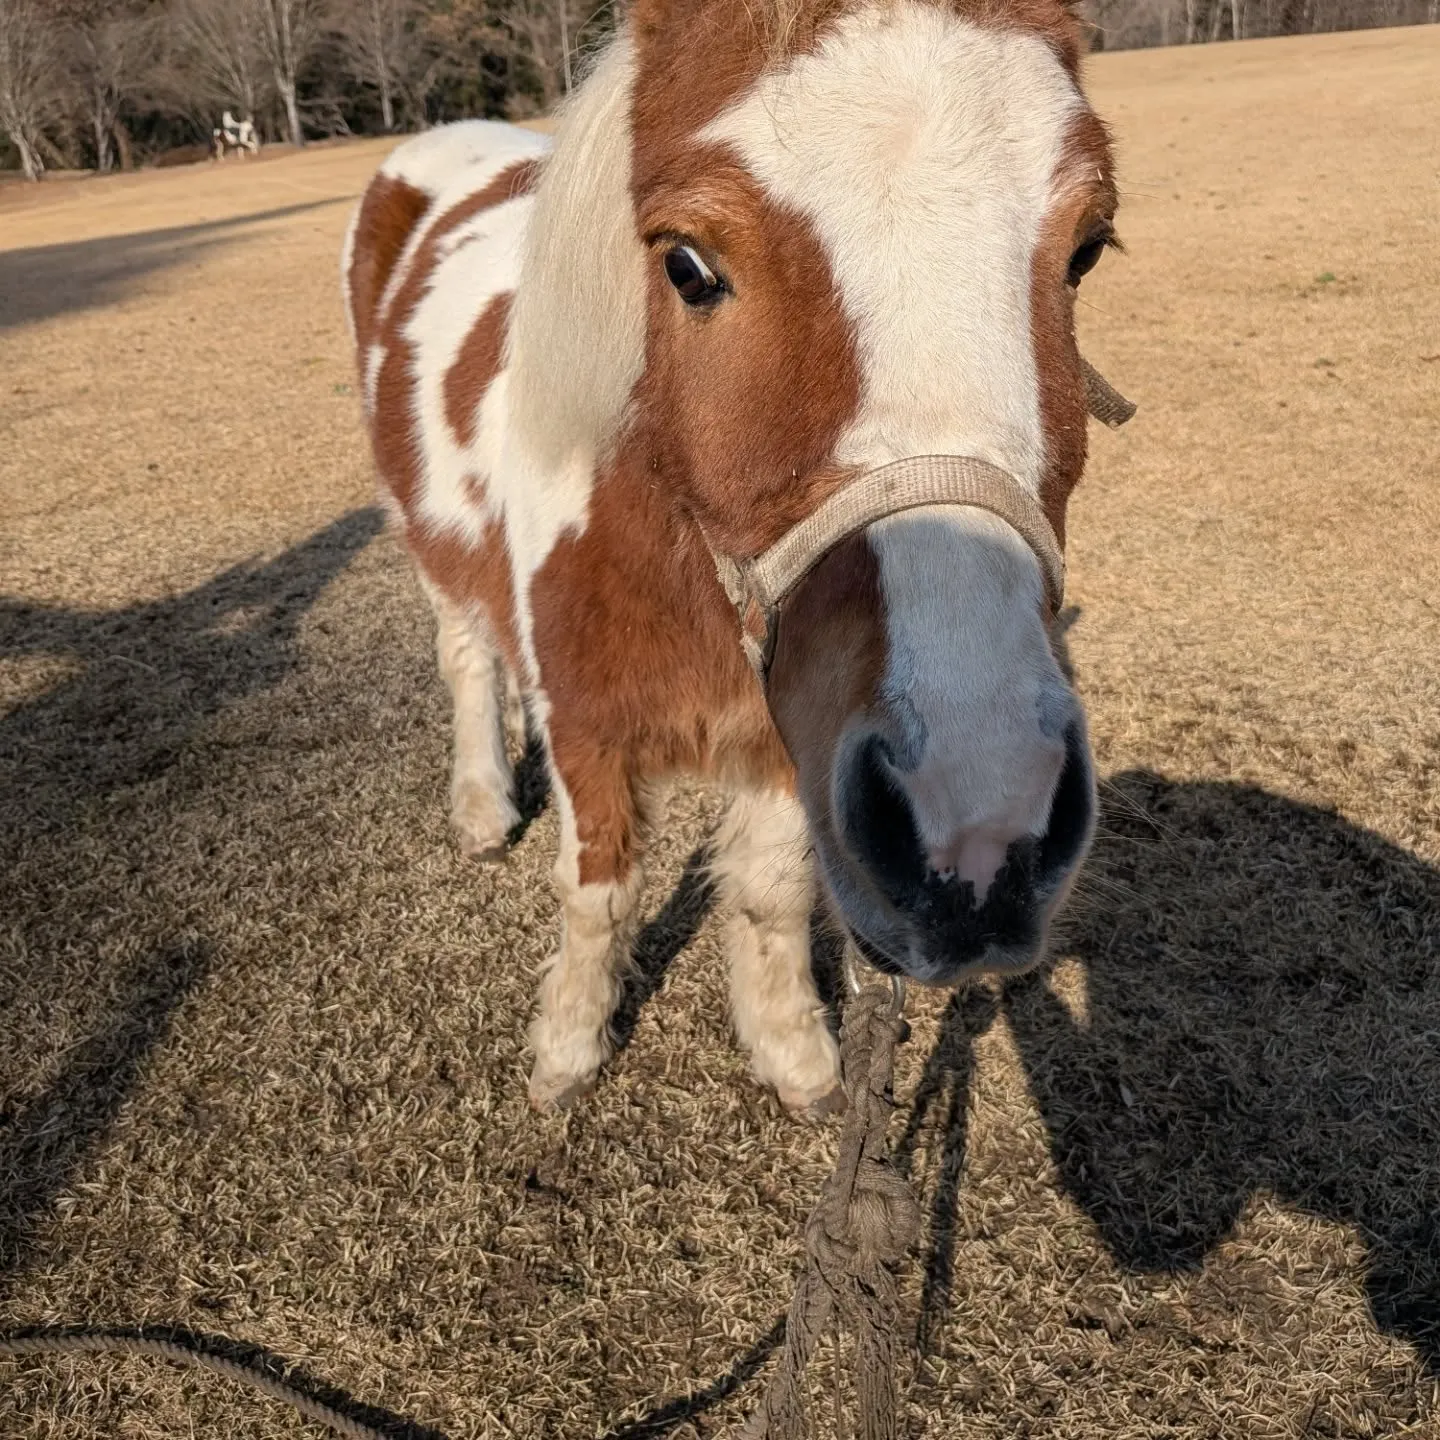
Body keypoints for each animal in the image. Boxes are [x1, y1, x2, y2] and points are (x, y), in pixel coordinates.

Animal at [342, 0, 1124, 1115]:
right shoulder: (586, 723)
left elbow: (770, 893)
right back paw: (484, 803)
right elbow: (599, 889)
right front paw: (567, 1050)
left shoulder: (796, 729)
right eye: (688, 265)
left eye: (1087, 250)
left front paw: (795, 1056)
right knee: (465, 656)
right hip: (425, 539)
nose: (981, 821)